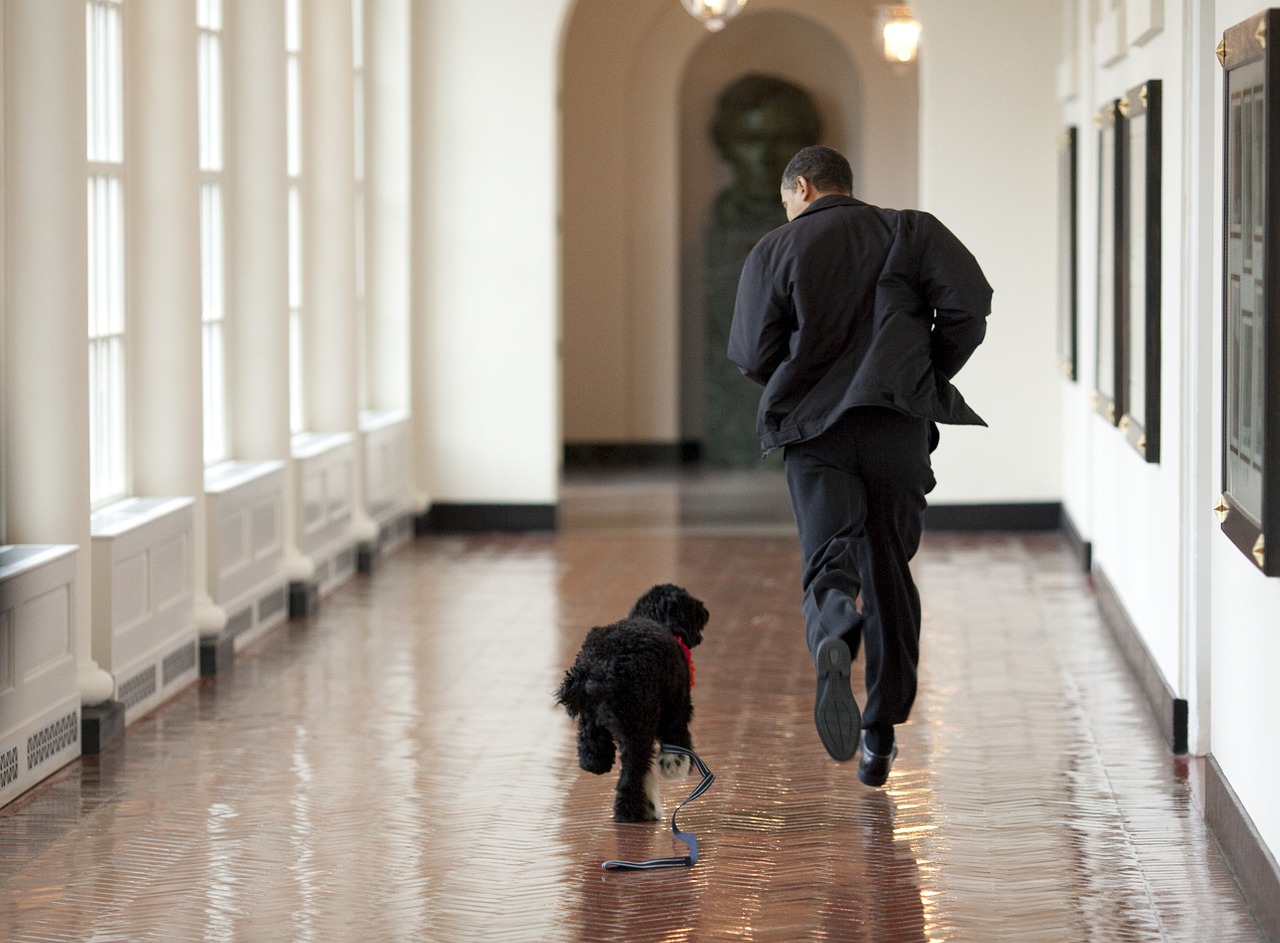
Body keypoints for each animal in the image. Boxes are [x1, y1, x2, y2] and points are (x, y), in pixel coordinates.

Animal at [552, 586, 711, 818]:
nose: (706, 613)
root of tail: (602, 668)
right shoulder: (677, 707)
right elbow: (677, 743)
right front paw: (675, 766)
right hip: (639, 726)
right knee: (632, 773)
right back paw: (630, 811)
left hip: (595, 721)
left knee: (593, 752)